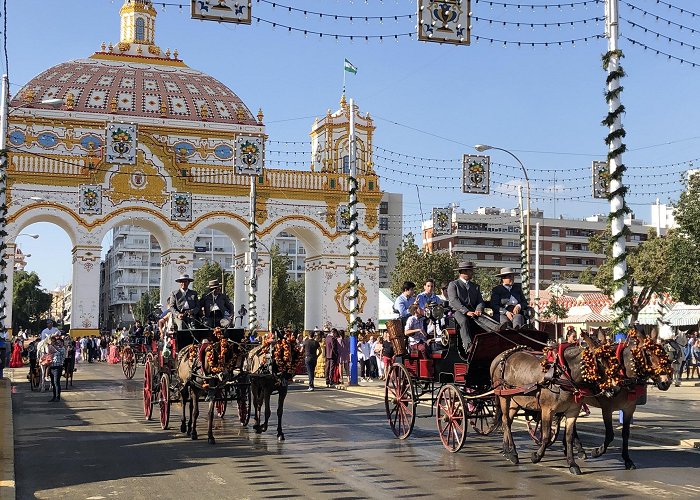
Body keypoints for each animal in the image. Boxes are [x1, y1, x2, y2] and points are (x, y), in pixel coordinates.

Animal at [492, 340, 612, 476]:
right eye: (599, 361)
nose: (614, 389)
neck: (563, 376)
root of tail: (502, 356)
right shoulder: (547, 410)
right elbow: (546, 436)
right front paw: (536, 456)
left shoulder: (572, 412)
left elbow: (569, 437)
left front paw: (572, 463)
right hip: (503, 396)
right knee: (506, 422)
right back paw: (513, 453)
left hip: (515, 400)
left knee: (507, 421)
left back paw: (506, 450)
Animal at [572, 330, 676, 470]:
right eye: (648, 354)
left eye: (664, 354)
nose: (666, 382)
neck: (624, 376)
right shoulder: (607, 409)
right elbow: (610, 434)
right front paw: (597, 451)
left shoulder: (629, 409)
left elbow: (626, 434)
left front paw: (627, 460)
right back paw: (580, 450)